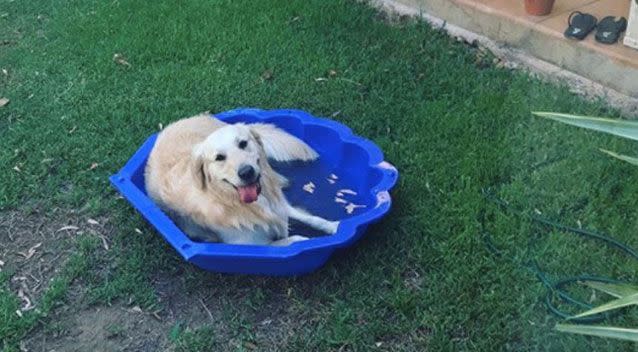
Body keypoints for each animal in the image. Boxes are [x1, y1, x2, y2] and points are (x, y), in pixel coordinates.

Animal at [146, 114, 342, 246]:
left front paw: (335, 226)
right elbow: (293, 240)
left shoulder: (279, 205)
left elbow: (311, 218)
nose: (247, 172)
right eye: (219, 158)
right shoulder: (251, 245)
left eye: (243, 143)